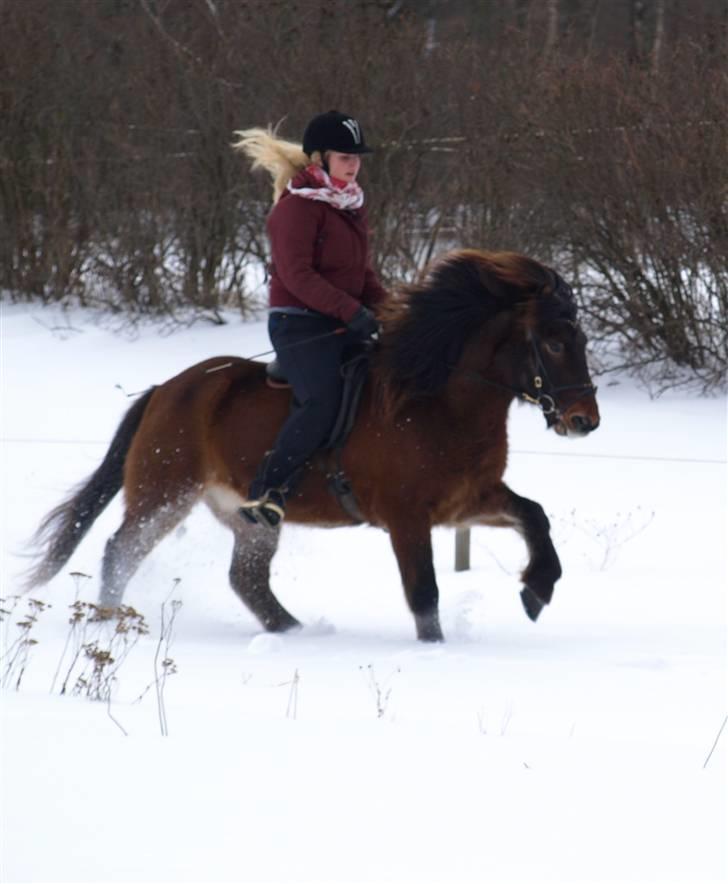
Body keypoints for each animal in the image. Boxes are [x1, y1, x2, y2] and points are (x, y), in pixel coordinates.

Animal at [25, 250, 600, 644]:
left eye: (582, 340)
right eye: (553, 342)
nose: (584, 421)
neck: (437, 402)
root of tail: (166, 390)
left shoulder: (468, 501)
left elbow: (534, 516)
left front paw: (537, 590)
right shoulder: (406, 517)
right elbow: (424, 594)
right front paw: (436, 650)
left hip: (246, 516)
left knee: (247, 579)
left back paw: (297, 633)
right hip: (164, 493)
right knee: (120, 552)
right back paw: (107, 623)